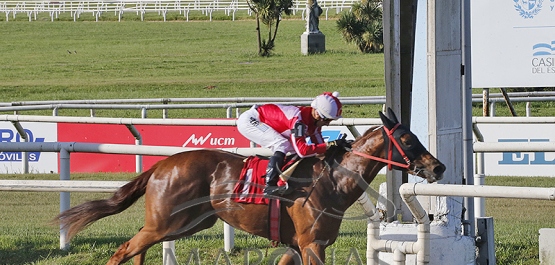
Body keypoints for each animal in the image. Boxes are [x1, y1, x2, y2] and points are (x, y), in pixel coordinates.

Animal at [56, 108, 448, 264]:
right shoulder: (312, 243)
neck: (332, 181)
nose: (438, 166)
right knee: (124, 250)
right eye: (408, 140)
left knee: (137, 250)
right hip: (165, 223)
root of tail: (160, 166)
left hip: (183, 225)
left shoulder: (297, 244)